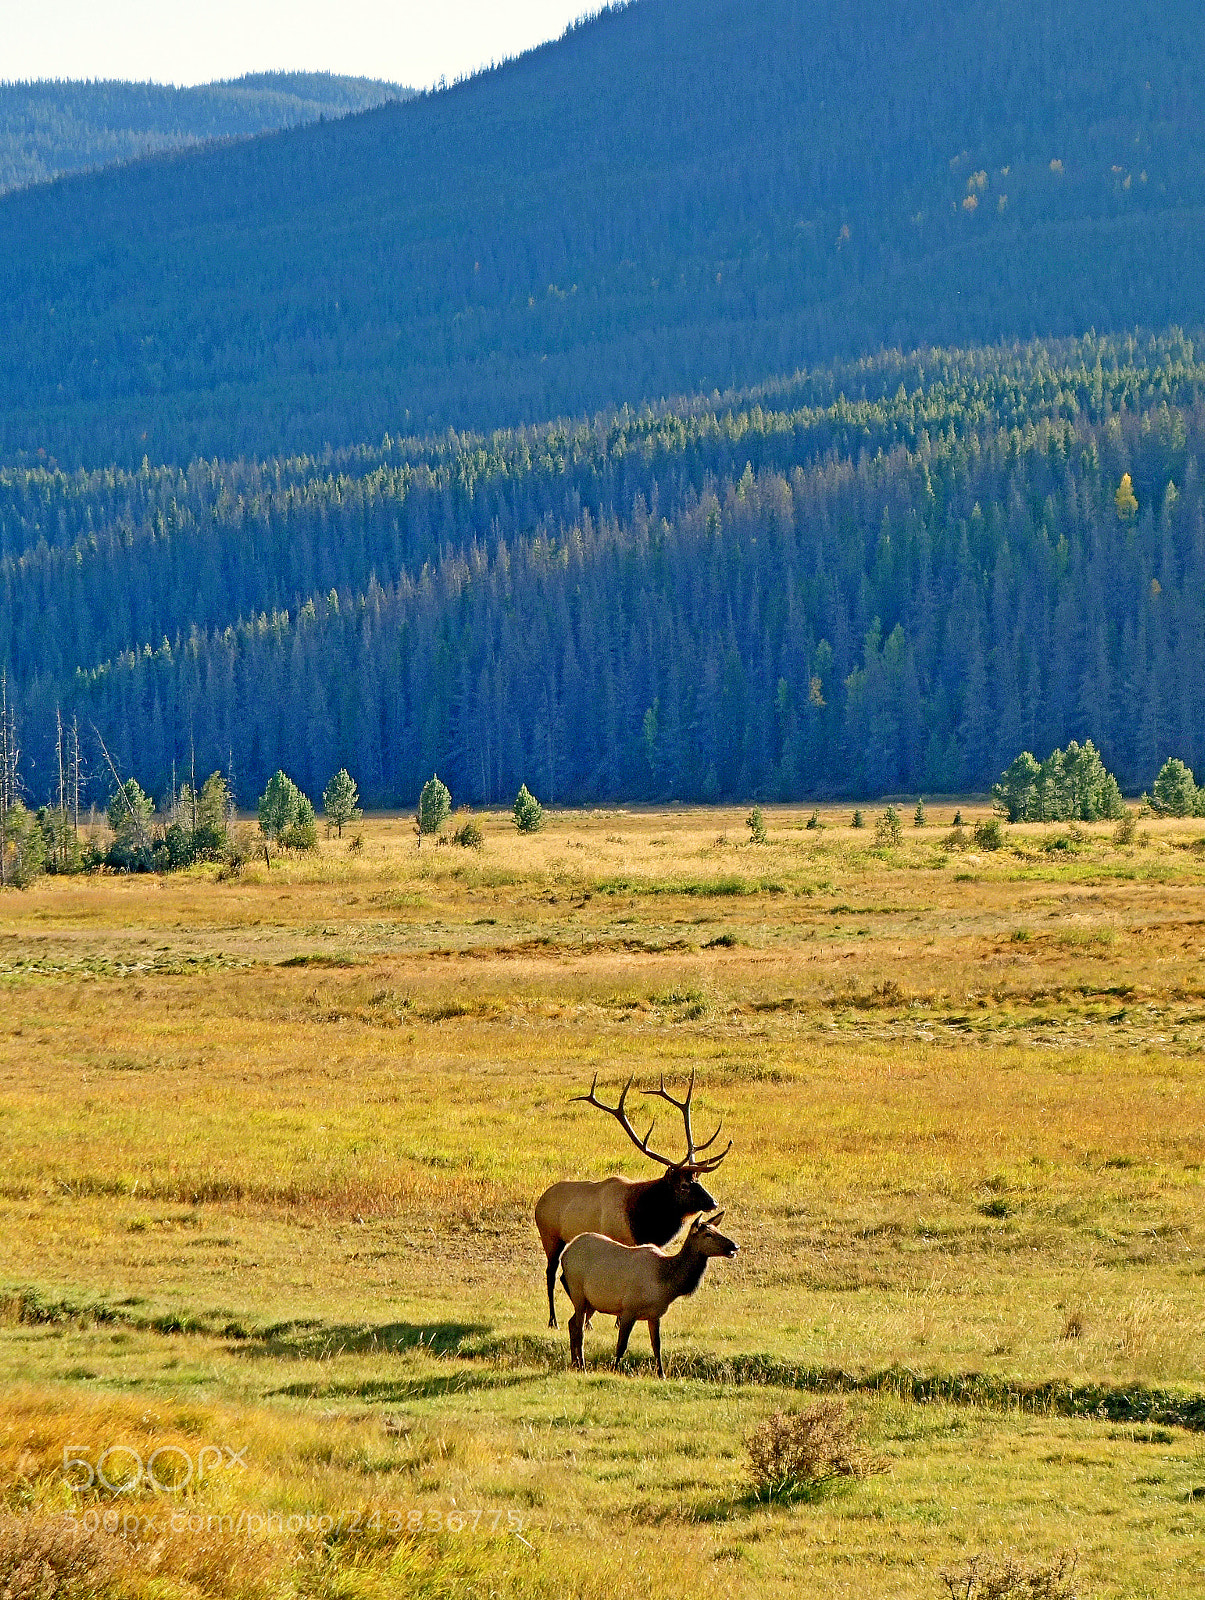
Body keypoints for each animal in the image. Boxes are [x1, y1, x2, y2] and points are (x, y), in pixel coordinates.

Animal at [534, 1069, 731, 1328]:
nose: (713, 1202)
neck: (645, 1221)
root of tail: (540, 1201)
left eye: (698, 1180)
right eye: (684, 1185)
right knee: (550, 1272)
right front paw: (618, 1321)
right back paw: (552, 1320)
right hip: (550, 1235)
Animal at [560, 1210, 739, 1377]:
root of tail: (565, 1254)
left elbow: (657, 1345)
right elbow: (621, 1344)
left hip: (592, 1302)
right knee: (580, 1329)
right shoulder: (629, 1309)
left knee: (572, 1324)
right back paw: (582, 1366)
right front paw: (614, 1369)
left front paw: (662, 1374)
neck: (667, 1286)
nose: (735, 1246)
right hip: (578, 1292)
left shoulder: (655, 1314)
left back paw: (575, 1363)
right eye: (708, 1234)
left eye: (718, 1230)